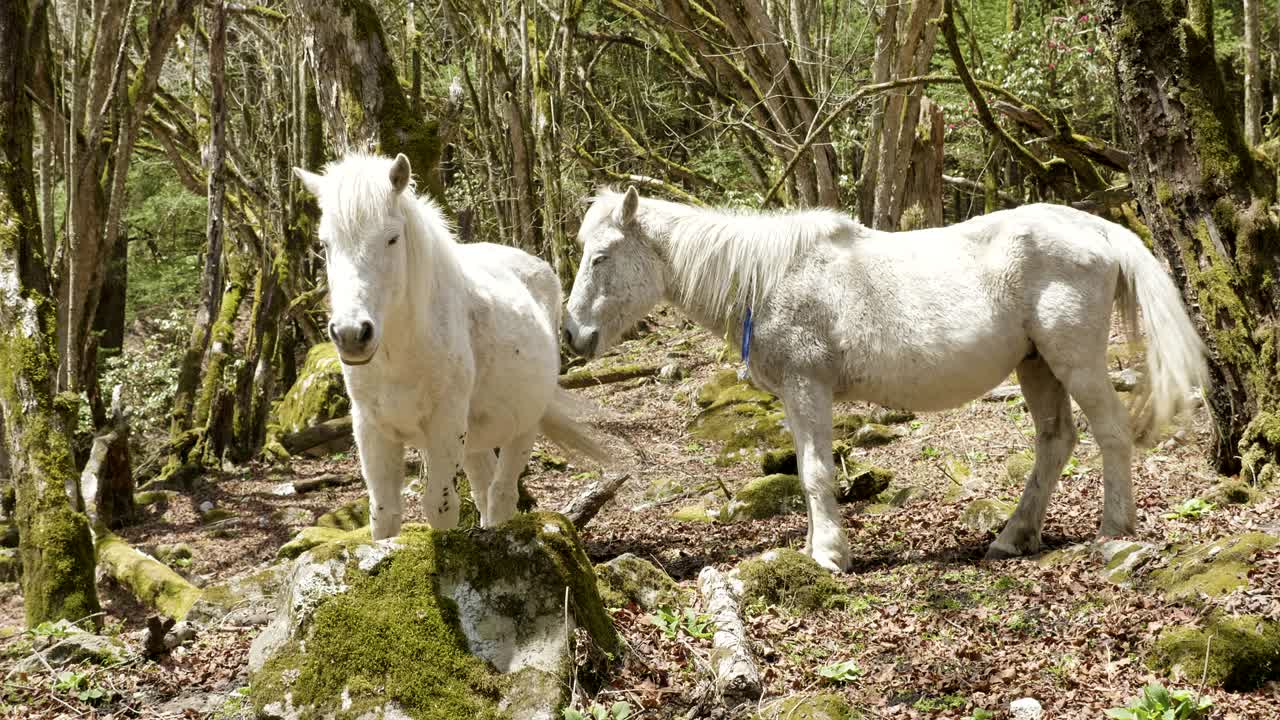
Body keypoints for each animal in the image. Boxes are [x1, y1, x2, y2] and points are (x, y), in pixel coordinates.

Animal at [293, 152, 605, 539]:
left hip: (523, 425)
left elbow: (439, 507)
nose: (352, 334)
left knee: (501, 494)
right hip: (474, 438)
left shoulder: (444, 425)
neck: (400, 355)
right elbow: (383, 514)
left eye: (392, 239)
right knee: (485, 490)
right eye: (325, 244)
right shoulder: (372, 428)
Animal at [562, 187, 1206, 572]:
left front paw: (829, 556)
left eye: (601, 257)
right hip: (1036, 365)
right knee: (1056, 441)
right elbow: (806, 473)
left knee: (1111, 432)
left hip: (1073, 361)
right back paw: (1012, 536)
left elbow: (817, 473)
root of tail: (1097, 229)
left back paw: (1114, 528)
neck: (767, 277)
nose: (572, 335)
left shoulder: (808, 388)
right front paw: (815, 547)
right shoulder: (796, 397)